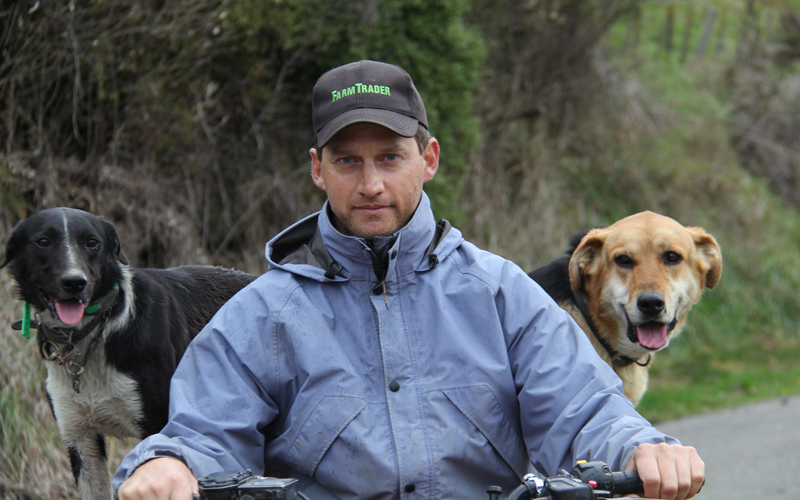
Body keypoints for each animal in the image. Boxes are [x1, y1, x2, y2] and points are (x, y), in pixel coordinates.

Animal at [1, 207, 256, 500]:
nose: (75, 282)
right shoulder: (80, 438)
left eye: (92, 242)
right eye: (43, 242)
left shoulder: (159, 426)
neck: (93, 334)